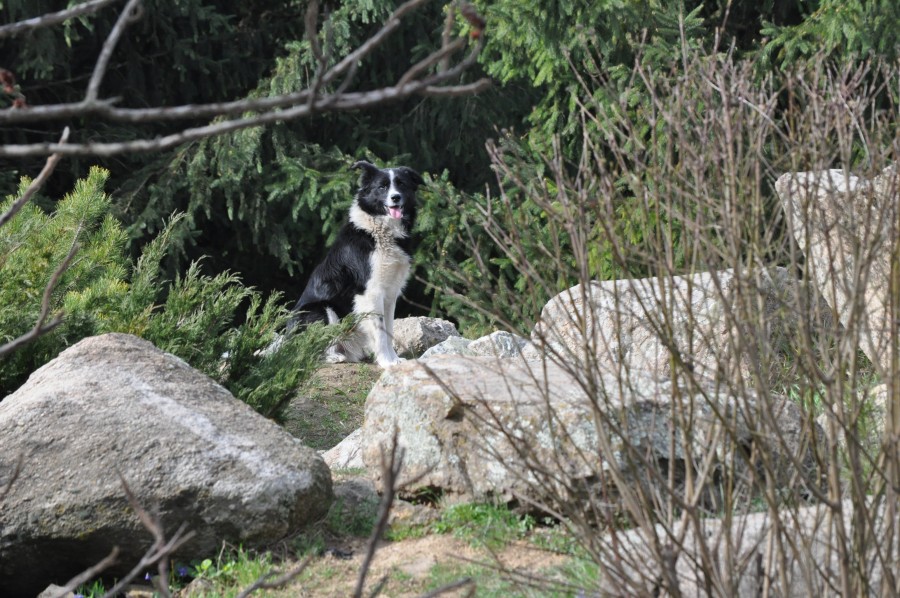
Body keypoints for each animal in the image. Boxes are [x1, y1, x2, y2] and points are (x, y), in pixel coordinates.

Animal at [292, 161, 426, 366]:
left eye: (402, 184)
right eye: (382, 187)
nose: (395, 197)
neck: (380, 231)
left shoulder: (390, 294)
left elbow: (389, 329)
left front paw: (394, 360)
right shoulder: (371, 292)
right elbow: (380, 332)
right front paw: (386, 362)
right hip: (320, 310)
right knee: (309, 351)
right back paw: (333, 357)